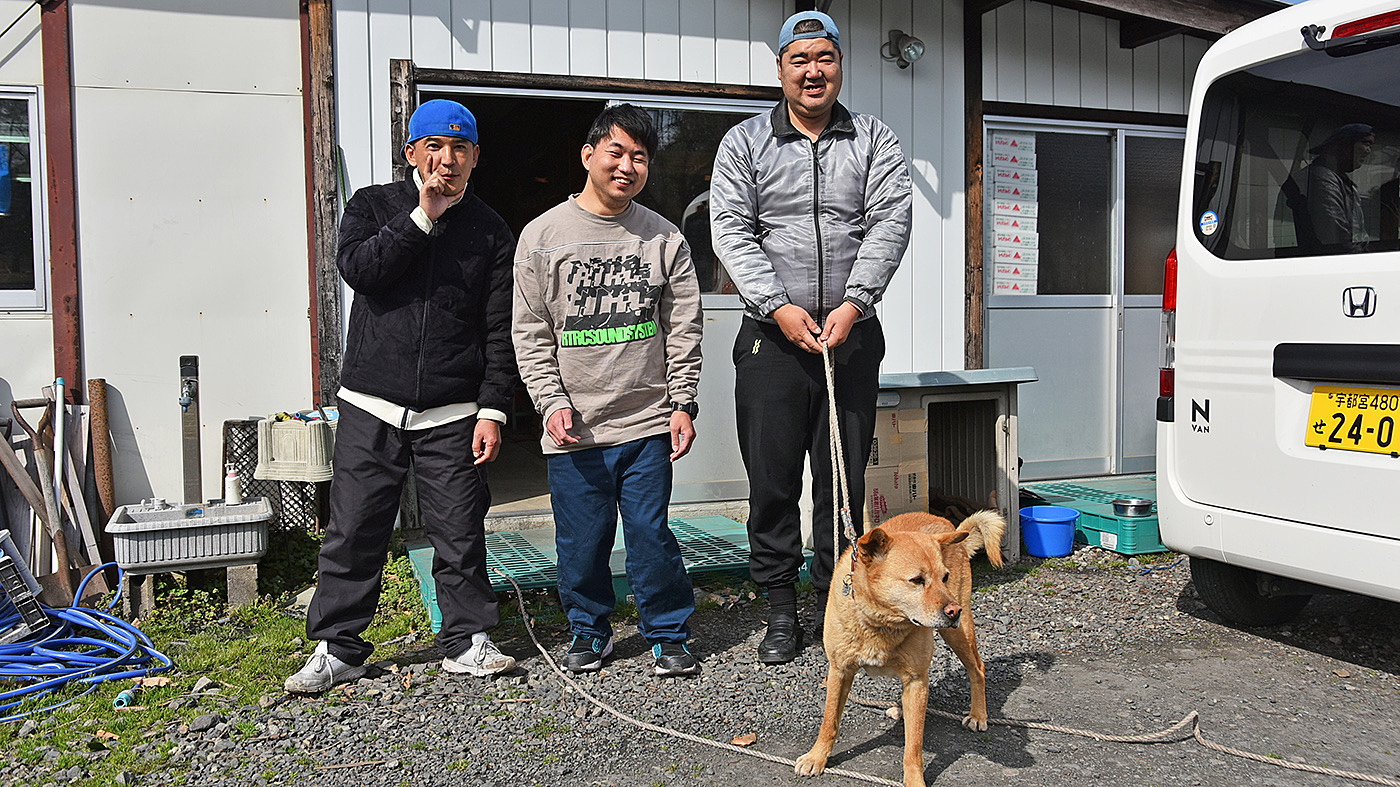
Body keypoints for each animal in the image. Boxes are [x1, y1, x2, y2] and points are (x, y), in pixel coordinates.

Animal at [795, 509, 1002, 784]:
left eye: (944, 577)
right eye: (916, 580)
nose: (953, 611)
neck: (881, 622)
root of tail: (944, 522)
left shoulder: (916, 679)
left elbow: (913, 746)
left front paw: (914, 780)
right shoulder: (839, 671)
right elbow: (830, 722)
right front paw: (817, 757)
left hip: (958, 634)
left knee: (978, 667)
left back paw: (978, 715)